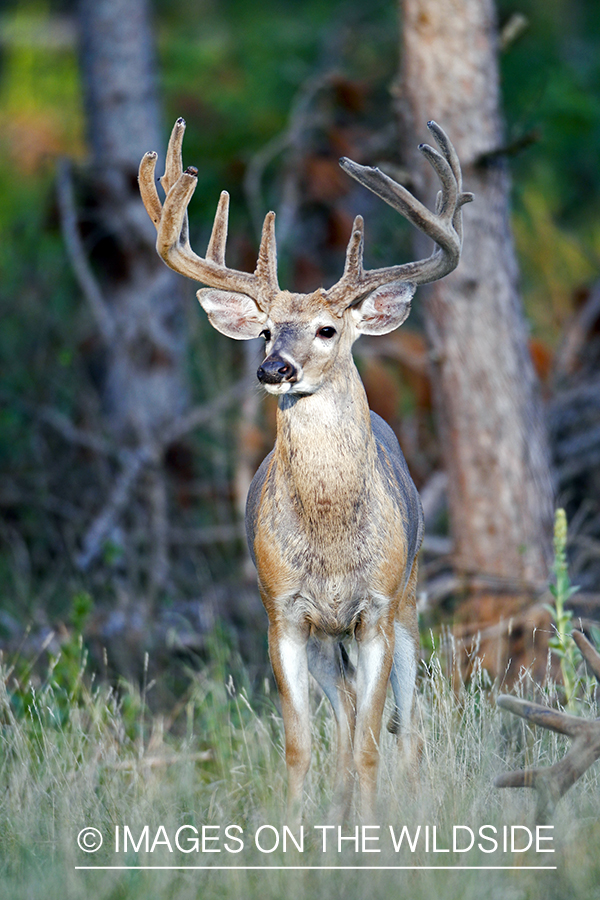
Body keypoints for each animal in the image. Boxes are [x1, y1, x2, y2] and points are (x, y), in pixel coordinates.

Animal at [139, 116, 474, 820]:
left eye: (326, 329)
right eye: (266, 331)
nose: (274, 369)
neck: (330, 542)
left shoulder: (376, 610)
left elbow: (374, 744)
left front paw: (371, 835)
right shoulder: (284, 613)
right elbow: (300, 746)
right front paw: (294, 832)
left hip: (409, 604)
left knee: (406, 728)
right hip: (327, 640)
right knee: (342, 716)